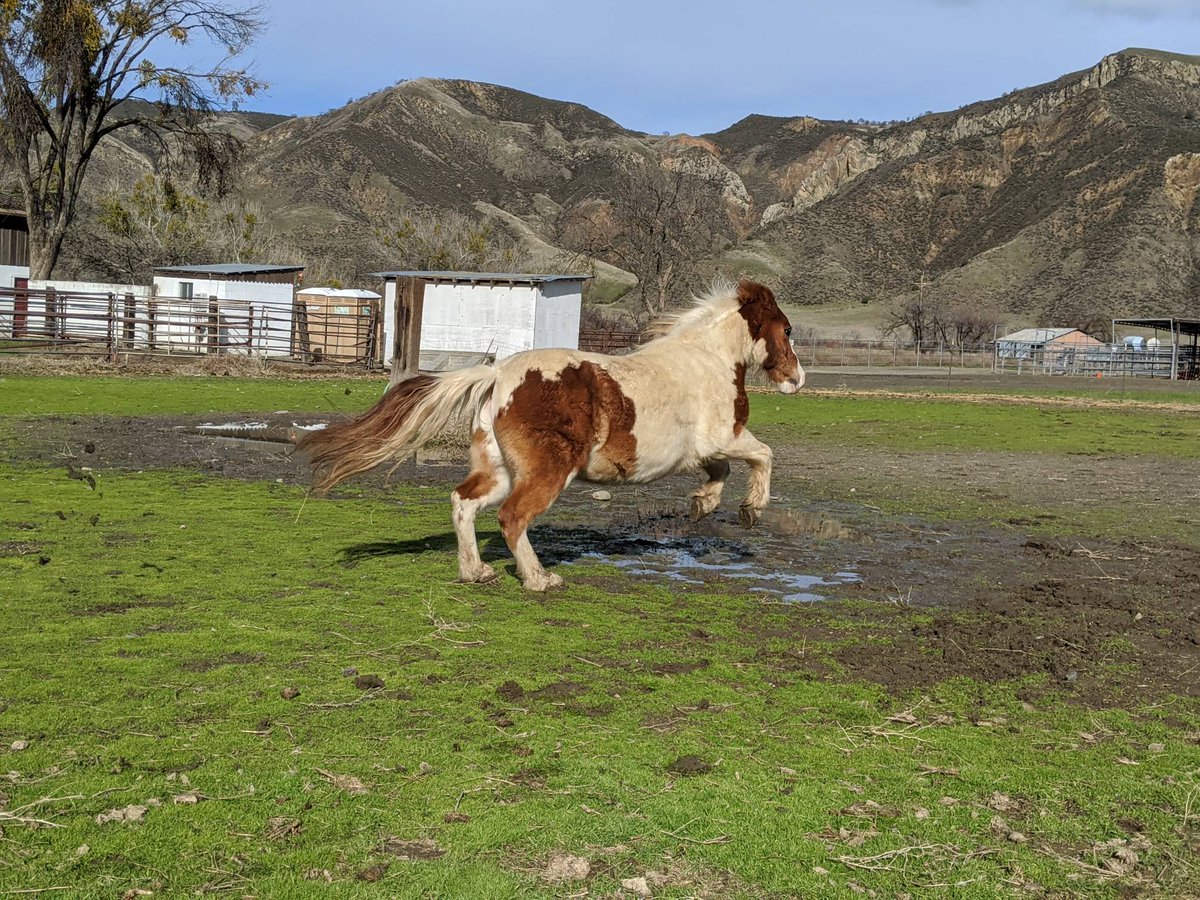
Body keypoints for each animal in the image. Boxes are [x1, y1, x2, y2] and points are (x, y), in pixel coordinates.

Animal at [298, 277, 804, 591]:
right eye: (787, 329)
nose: (796, 380)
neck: (707, 359)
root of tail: (499, 374)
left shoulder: (704, 449)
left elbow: (721, 471)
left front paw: (703, 503)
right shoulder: (724, 436)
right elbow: (764, 454)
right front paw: (751, 510)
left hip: (501, 471)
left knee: (464, 502)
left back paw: (476, 572)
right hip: (547, 471)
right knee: (512, 517)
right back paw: (539, 579)